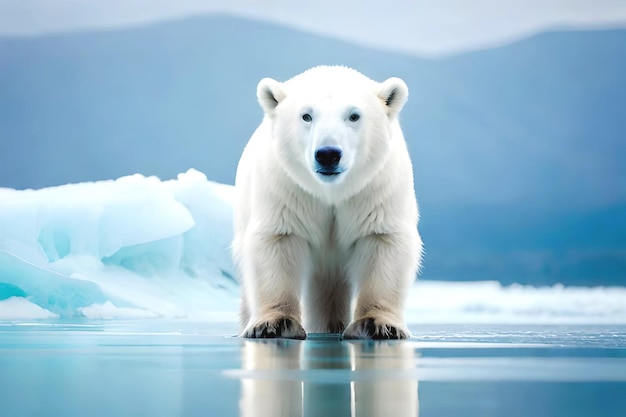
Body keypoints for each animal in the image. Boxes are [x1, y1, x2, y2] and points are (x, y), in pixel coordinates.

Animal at [232, 65, 422, 338]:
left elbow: (382, 240)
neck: (331, 192)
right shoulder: (286, 189)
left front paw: (377, 325)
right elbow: (278, 241)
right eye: (306, 116)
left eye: (354, 116)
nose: (328, 154)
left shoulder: (377, 189)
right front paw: (273, 324)